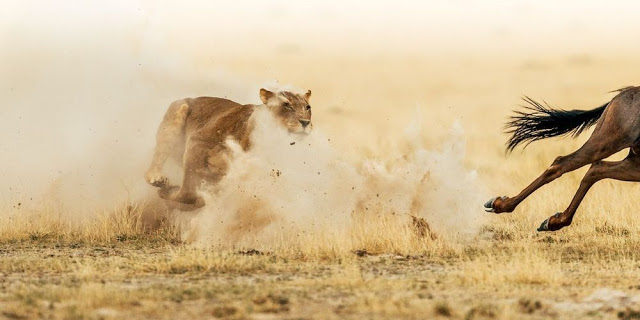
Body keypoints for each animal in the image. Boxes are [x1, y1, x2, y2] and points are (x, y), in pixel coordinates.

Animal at [484, 86, 640, 231]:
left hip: (633, 164)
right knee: (561, 164)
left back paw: (553, 222)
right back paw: (500, 204)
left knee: (595, 169)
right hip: (605, 143)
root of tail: (625, 91)